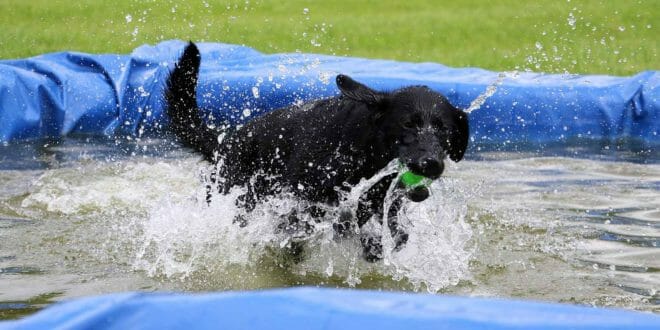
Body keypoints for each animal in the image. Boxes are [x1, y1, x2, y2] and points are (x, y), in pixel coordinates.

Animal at [166, 42, 470, 262]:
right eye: (408, 124)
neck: (361, 152)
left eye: (444, 129)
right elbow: (297, 228)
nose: (430, 163)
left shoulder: (383, 204)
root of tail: (228, 142)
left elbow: (393, 234)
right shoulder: (301, 199)